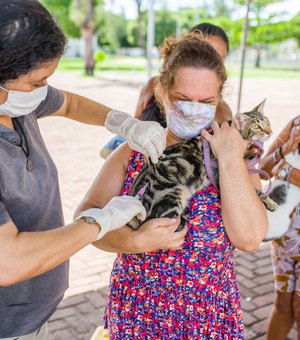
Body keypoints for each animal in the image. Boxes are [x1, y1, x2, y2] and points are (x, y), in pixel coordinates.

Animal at [127, 99, 278, 231]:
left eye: (268, 122)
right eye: (256, 127)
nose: (270, 132)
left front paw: (253, 152)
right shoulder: (219, 175)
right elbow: (257, 191)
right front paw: (271, 202)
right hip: (172, 194)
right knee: (164, 222)